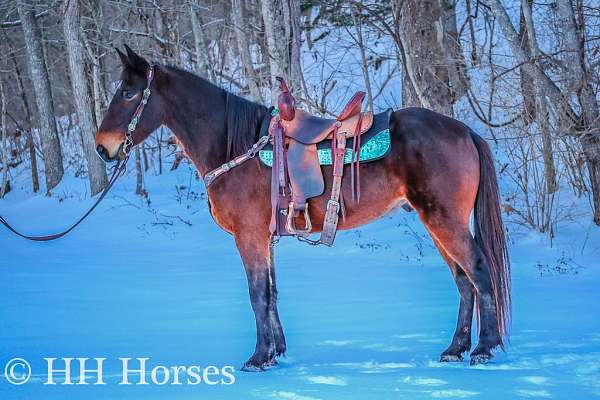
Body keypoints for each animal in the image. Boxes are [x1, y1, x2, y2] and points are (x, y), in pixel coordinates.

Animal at [95, 47, 510, 372]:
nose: (103, 147)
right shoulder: (265, 238)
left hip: (444, 220)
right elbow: (272, 292)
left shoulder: (249, 236)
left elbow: (257, 294)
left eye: (129, 93)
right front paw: (276, 353)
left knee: (478, 271)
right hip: (435, 222)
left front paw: (258, 358)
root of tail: (464, 131)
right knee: (463, 281)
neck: (235, 145)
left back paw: (484, 348)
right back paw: (455, 349)